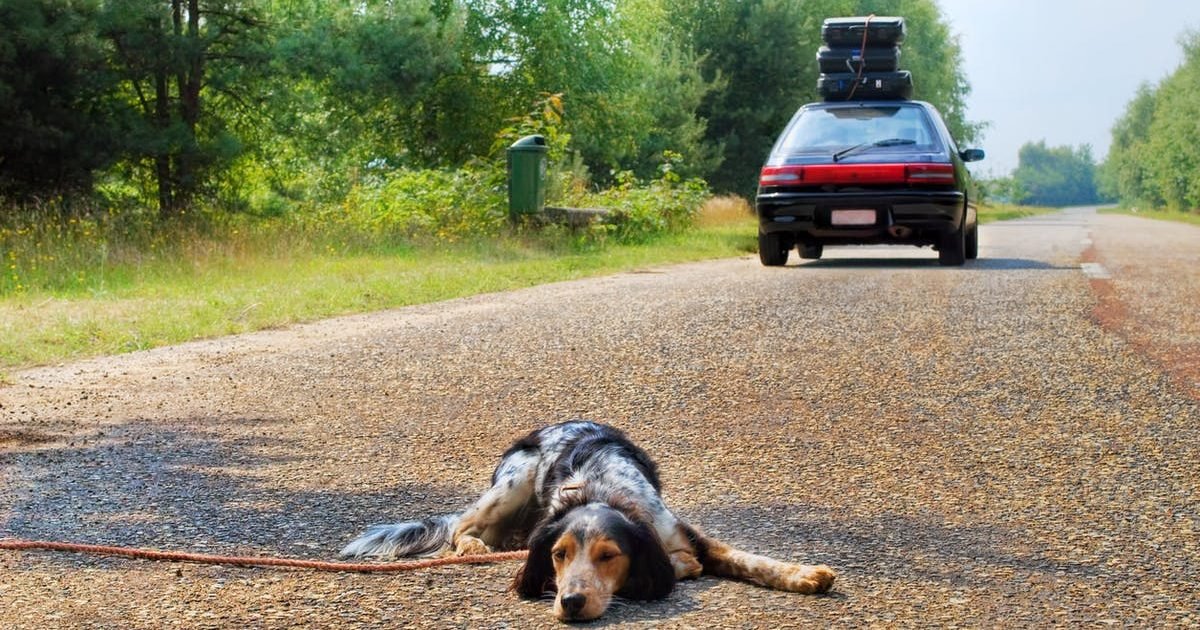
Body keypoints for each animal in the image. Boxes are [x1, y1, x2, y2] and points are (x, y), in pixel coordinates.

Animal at [340, 420, 835, 619]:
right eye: (557, 556)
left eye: (608, 555)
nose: (571, 602)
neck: (600, 491)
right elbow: (685, 565)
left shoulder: (682, 532)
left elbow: (746, 558)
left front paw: (803, 574)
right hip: (515, 479)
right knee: (461, 529)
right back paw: (473, 547)